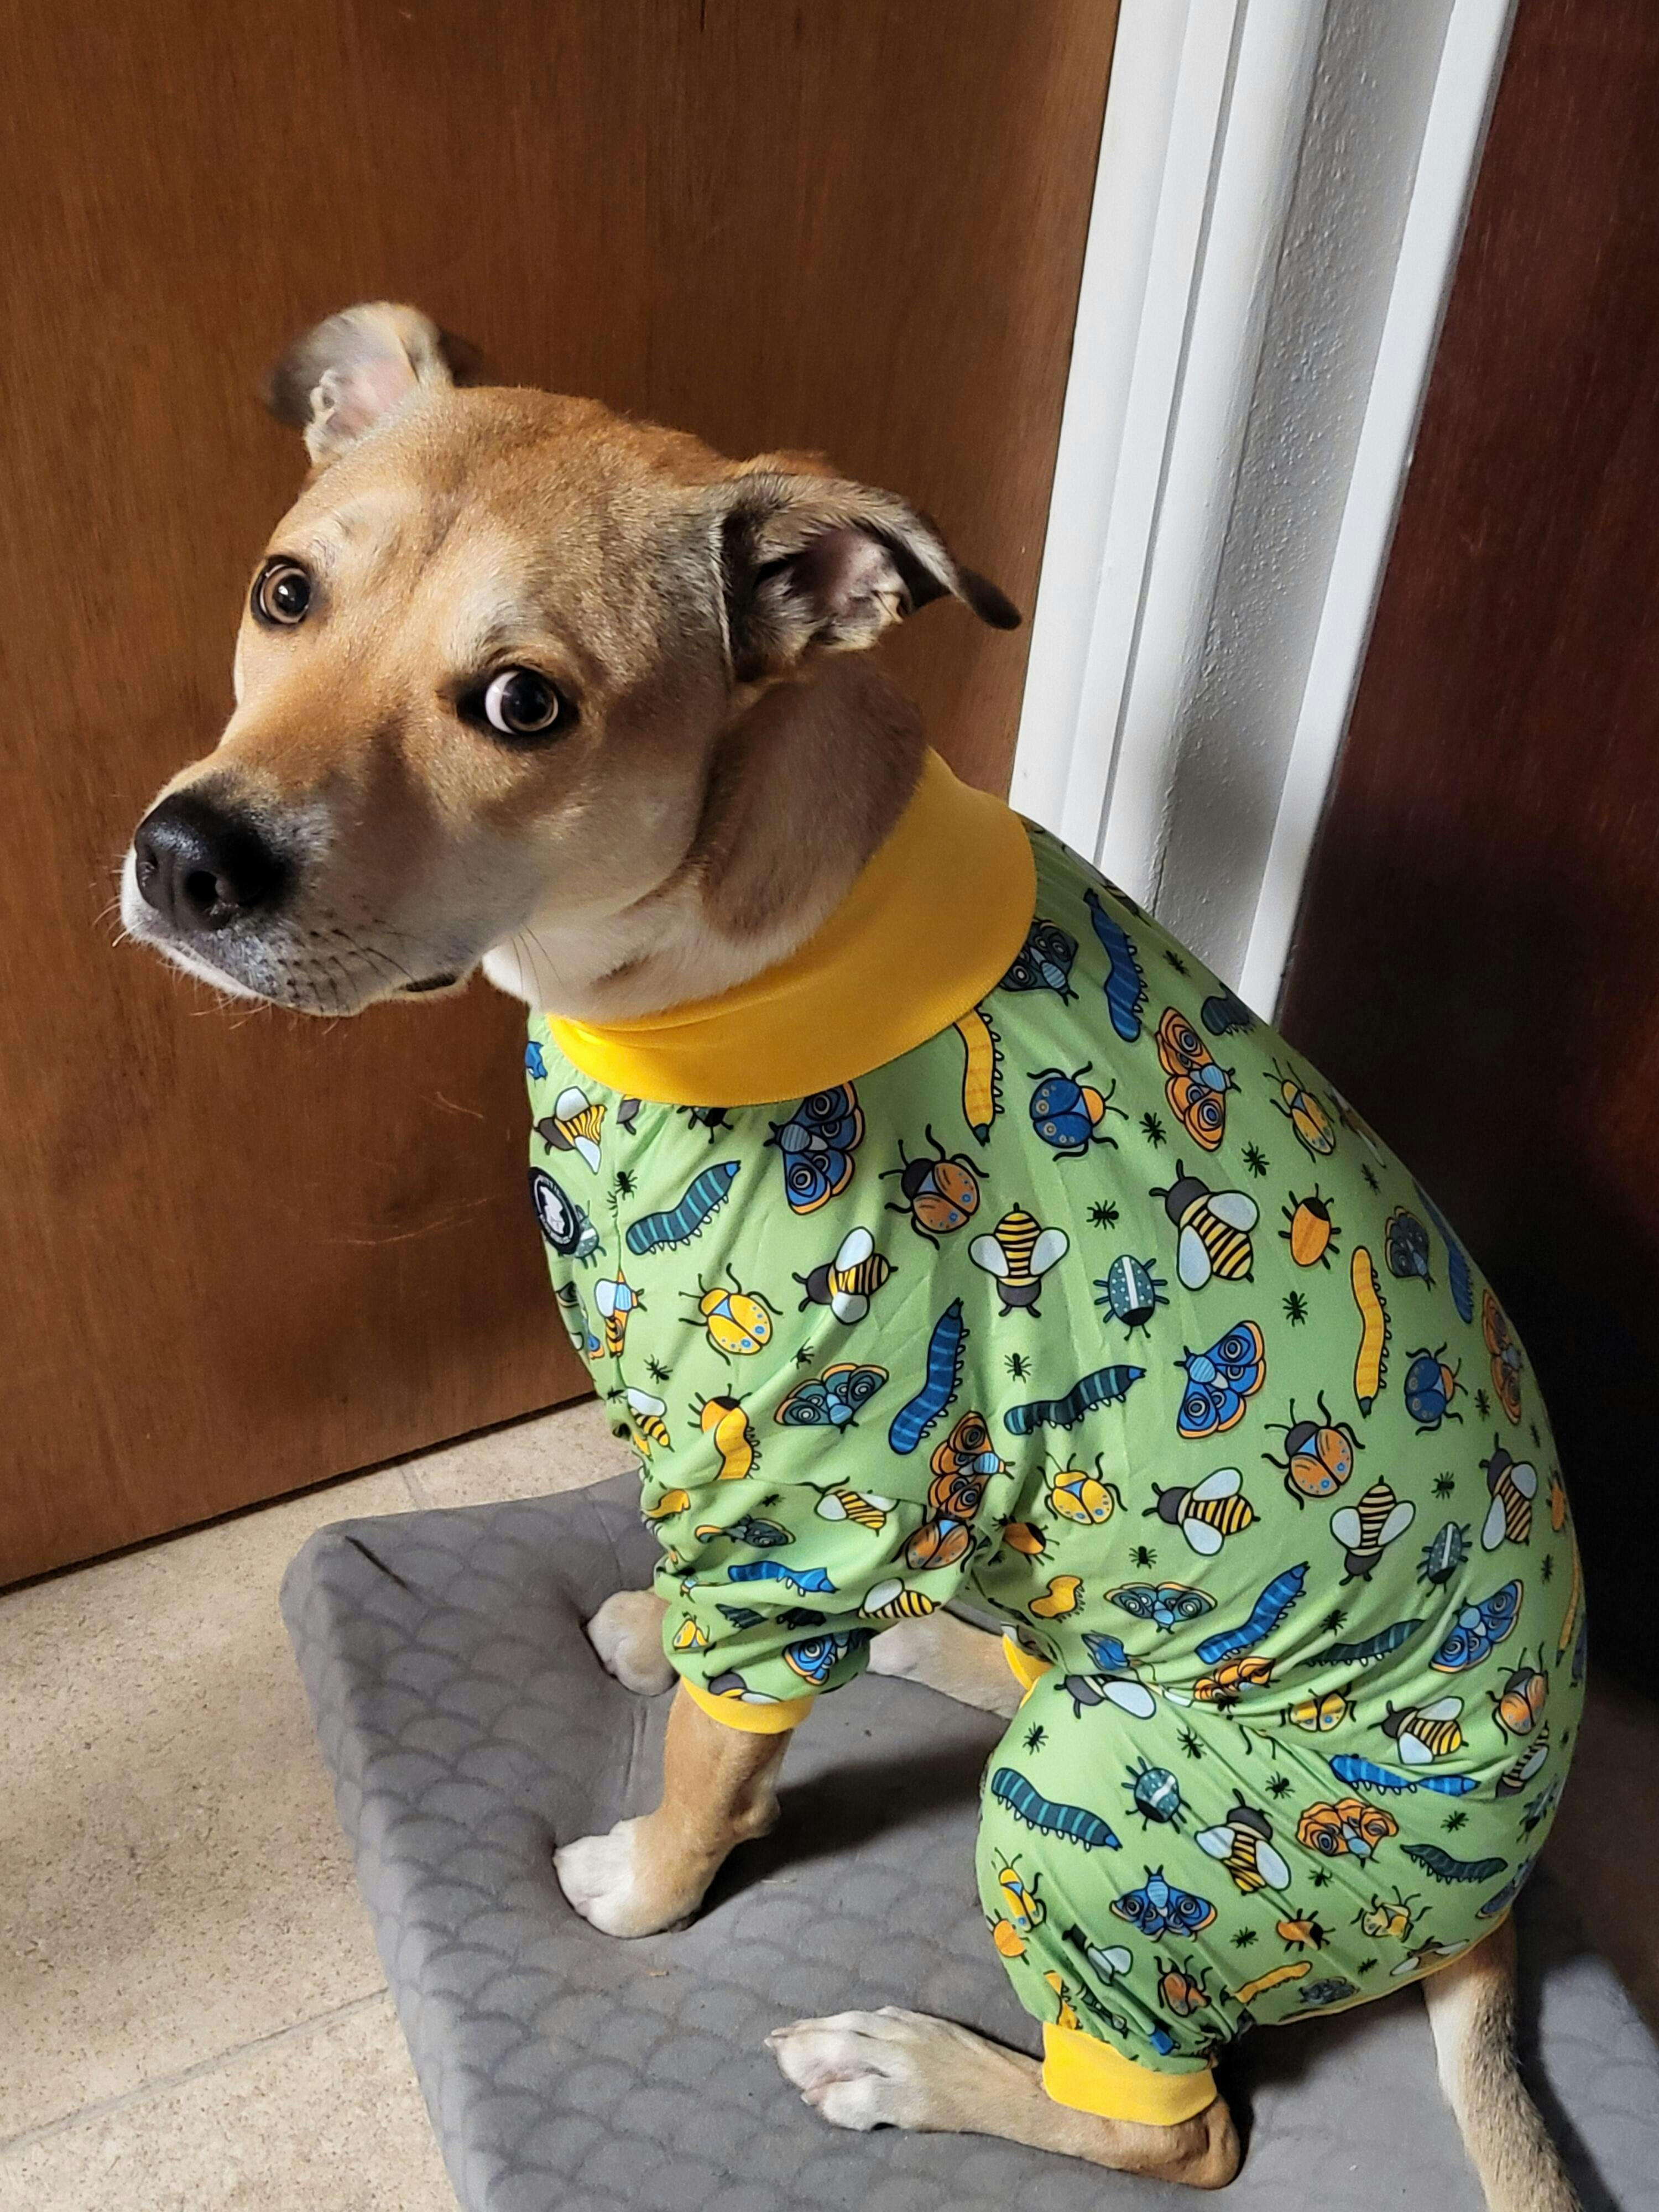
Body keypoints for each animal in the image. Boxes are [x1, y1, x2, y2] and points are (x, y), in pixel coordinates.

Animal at [124, 303, 1583, 2208]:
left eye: (524, 704)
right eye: (285, 590)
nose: (183, 859)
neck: (714, 969)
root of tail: (1499, 1905)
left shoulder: (808, 1487)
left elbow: (704, 1757)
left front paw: (644, 1885)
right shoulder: (740, 1480)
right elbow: (713, 1662)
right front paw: (671, 1645)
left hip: (1113, 1818)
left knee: (1187, 2130)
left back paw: (906, 2064)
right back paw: (935, 1648)